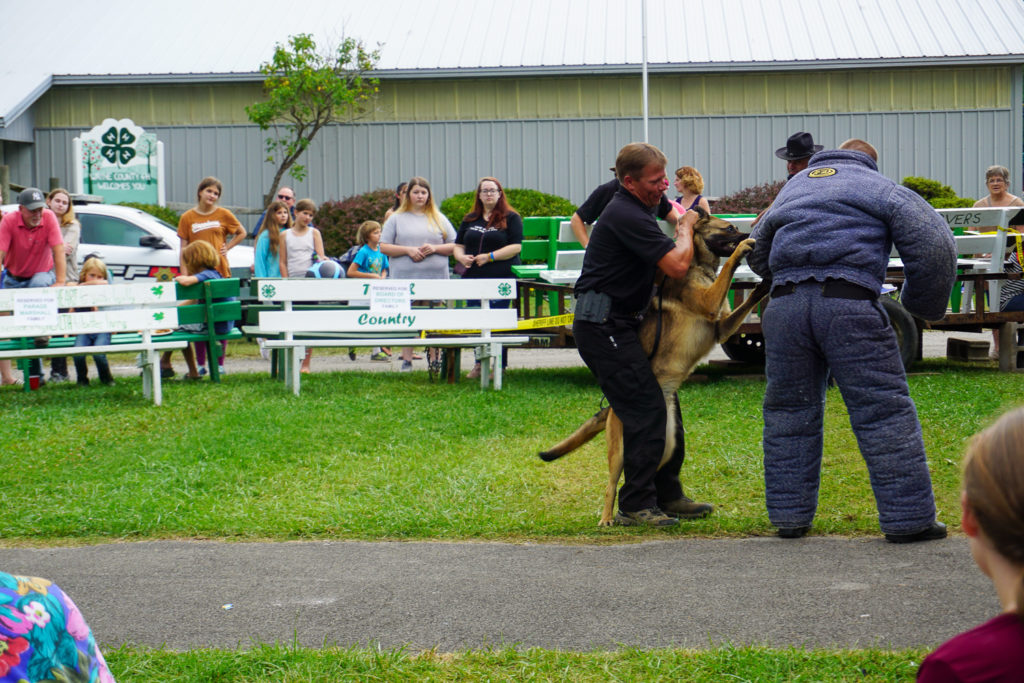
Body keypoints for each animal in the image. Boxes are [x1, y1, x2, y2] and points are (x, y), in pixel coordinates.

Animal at [536, 210, 770, 528]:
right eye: (731, 228)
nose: (752, 236)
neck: (698, 265)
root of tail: (611, 408)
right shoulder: (710, 301)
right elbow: (727, 270)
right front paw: (741, 250)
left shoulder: (722, 327)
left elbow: (748, 300)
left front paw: (764, 287)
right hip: (620, 449)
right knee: (612, 483)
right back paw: (609, 518)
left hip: (666, 443)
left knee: (648, 472)